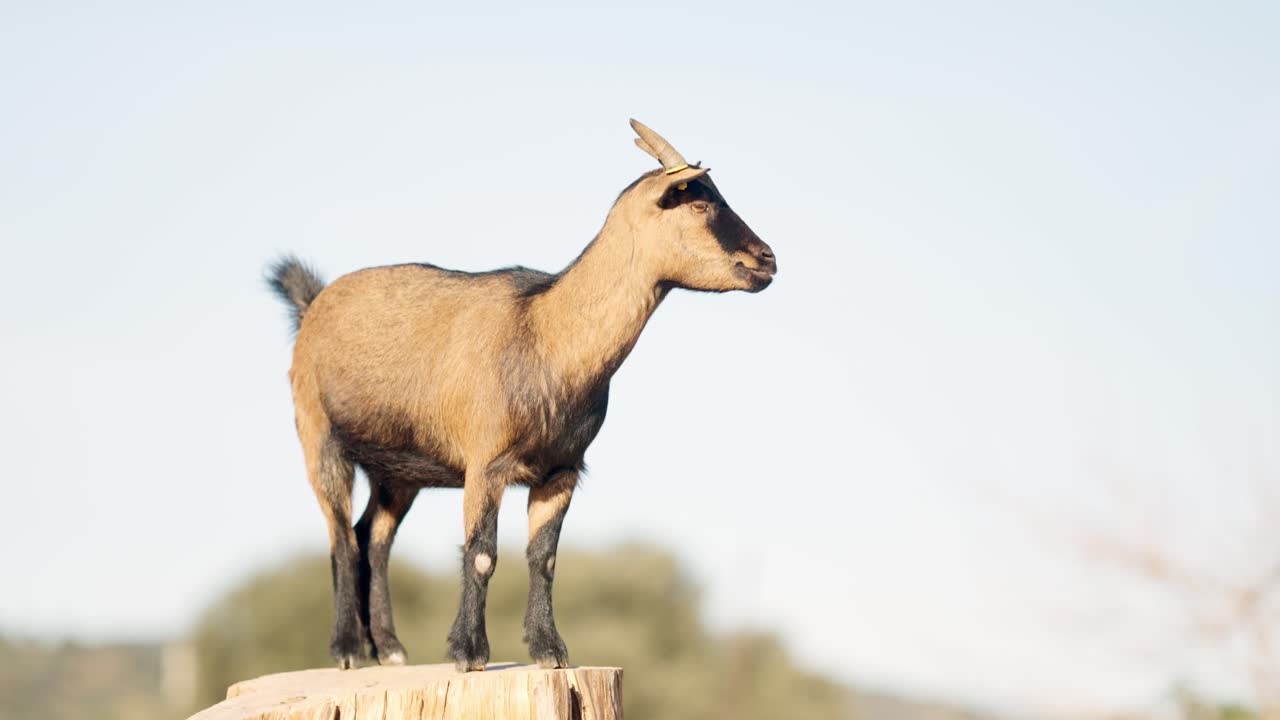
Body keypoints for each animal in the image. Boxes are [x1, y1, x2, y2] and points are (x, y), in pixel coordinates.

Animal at [267, 120, 777, 672]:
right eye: (699, 204)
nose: (767, 259)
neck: (546, 333)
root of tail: (313, 304)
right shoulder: (484, 464)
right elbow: (481, 553)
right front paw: (469, 652)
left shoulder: (561, 469)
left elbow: (544, 558)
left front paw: (550, 650)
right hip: (319, 434)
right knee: (341, 535)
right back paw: (346, 649)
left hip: (397, 469)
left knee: (373, 537)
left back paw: (389, 648)